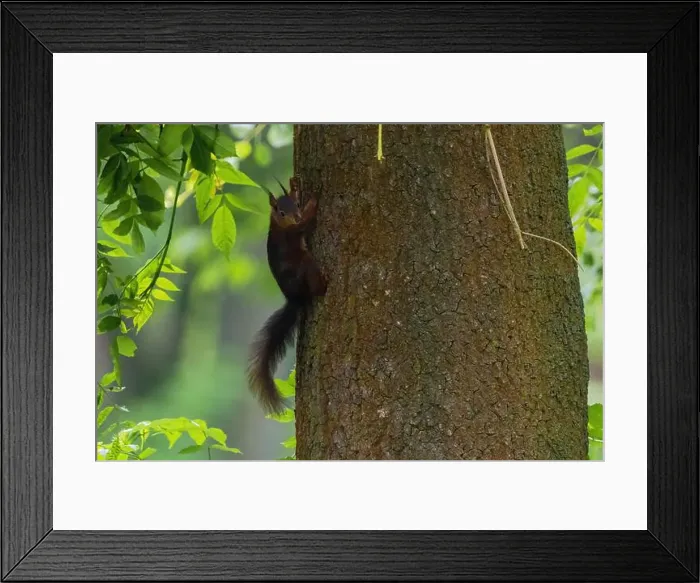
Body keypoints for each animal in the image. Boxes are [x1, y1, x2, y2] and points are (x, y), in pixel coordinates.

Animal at [247, 176, 326, 415]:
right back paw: (323, 283)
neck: (278, 224)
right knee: (314, 286)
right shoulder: (293, 231)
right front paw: (314, 201)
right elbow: (305, 224)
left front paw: (295, 185)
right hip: (305, 264)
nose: (296, 215)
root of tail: (294, 298)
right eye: (281, 212)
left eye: (296, 204)